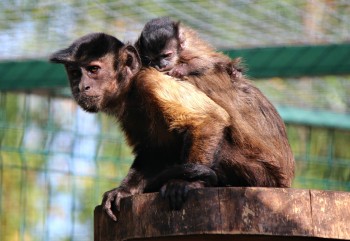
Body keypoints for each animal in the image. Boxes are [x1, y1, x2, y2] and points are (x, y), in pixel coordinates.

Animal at [50, 32, 296, 222]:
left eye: (93, 69)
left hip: (261, 177)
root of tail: (285, 182)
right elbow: (155, 150)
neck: (132, 84)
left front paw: (188, 184)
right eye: (75, 73)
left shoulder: (151, 80)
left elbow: (210, 118)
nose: (82, 86)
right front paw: (124, 190)